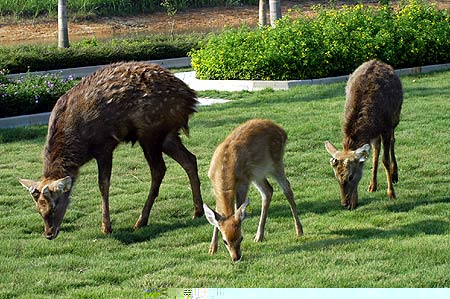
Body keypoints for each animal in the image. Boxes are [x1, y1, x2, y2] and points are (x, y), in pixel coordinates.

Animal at [18, 62, 204, 240]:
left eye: (54, 206)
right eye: (38, 210)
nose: (49, 234)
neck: (78, 144)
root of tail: (191, 98)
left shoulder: (105, 145)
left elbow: (103, 184)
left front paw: (106, 227)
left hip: (150, 133)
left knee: (159, 169)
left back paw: (141, 221)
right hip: (167, 135)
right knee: (189, 159)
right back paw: (197, 211)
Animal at [203, 119, 302, 262]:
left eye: (241, 238)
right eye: (225, 241)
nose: (236, 257)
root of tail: (282, 130)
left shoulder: (243, 182)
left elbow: (239, 208)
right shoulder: (214, 184)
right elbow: (217, 213)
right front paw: (212, 249)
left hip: (275, 162)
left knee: (287, 189)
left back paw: (299, 231)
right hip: (257, 174)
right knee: (268, 190)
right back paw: (259, 236)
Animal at [326, 59, 402, 211]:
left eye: (350, 176)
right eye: (336, 177)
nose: (345, 204)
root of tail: (378, 61)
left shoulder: (386, 126)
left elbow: (385, 159)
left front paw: (391, 194)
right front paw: (356, 200)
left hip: (395, 118)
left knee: (392, 141)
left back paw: (394, 173)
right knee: (376, 150)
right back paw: (373, 185)